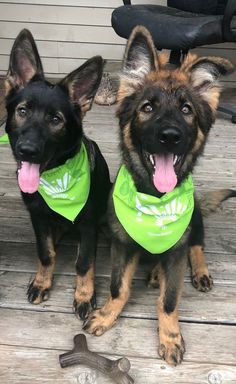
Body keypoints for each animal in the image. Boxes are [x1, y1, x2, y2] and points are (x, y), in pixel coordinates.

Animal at [5, 30, 111, 320]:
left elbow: (84, 262)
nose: (27, 150)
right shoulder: (38, 219)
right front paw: (42, 282)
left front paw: (84, 296)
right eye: (22, 111)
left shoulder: (87, 225)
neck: (55, 175)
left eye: (56, 120)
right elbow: (46, 253)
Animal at [84, 26, 235, 364]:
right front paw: (108, 315)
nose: (170, 136)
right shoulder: (122, 245)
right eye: (148, 108)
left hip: (195, 219)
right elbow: (118, 287)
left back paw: (197, 271)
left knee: (197, 245)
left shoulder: (177, 253)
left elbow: (169, 300)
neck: (153, 199)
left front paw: (170, 336)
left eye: (186, 109)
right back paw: (154, 271)